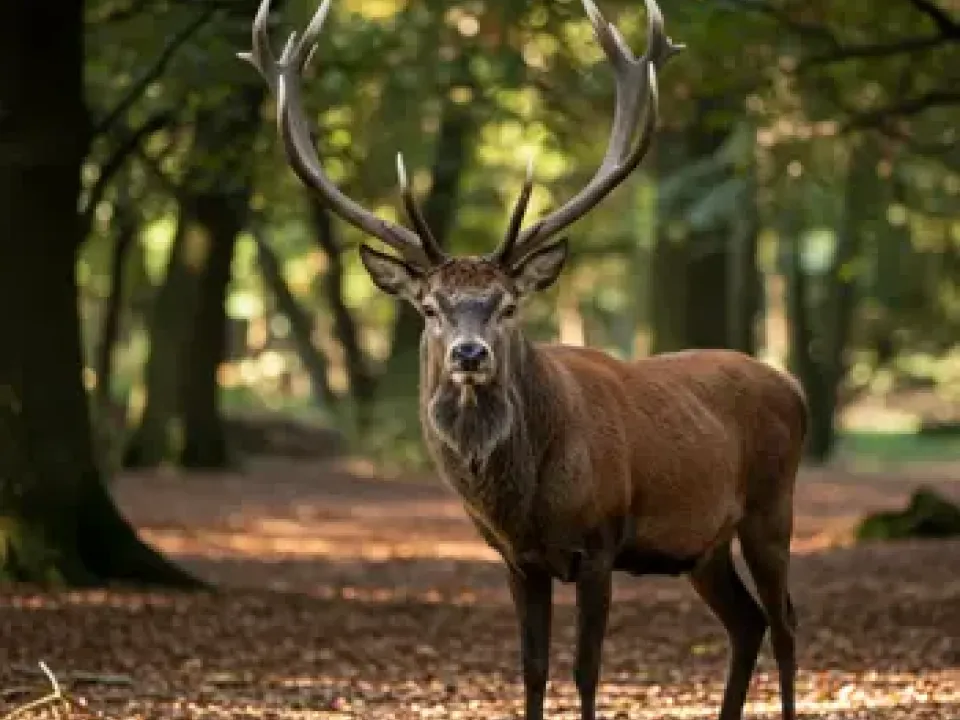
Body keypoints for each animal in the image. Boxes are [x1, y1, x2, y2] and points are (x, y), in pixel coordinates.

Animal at [240, 0, 807, 718]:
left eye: (507, 304)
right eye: (430, 307)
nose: (469, 352)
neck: (527, 498)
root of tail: (794, 387)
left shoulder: (600, 543)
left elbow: (586, 669)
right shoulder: (517, 560)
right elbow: (532, 668)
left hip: (771, 505)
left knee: (785, 622)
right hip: (702, 545)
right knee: (747, 622)